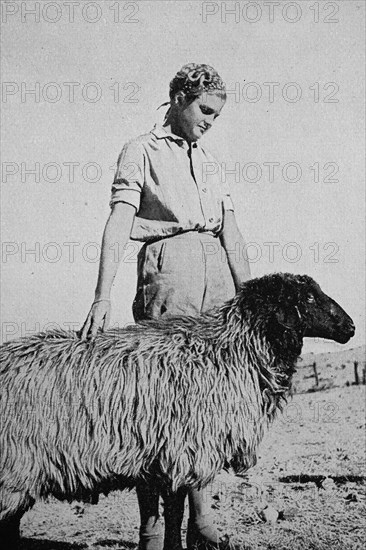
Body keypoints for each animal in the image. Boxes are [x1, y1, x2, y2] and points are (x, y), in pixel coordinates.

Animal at [0, 274, 354, 548]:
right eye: (309, 296)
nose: (350, 326)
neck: (232, 349)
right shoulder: (182, 453)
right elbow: (175, 512)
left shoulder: (167, 458)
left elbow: (174, 511)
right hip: (13, 470)